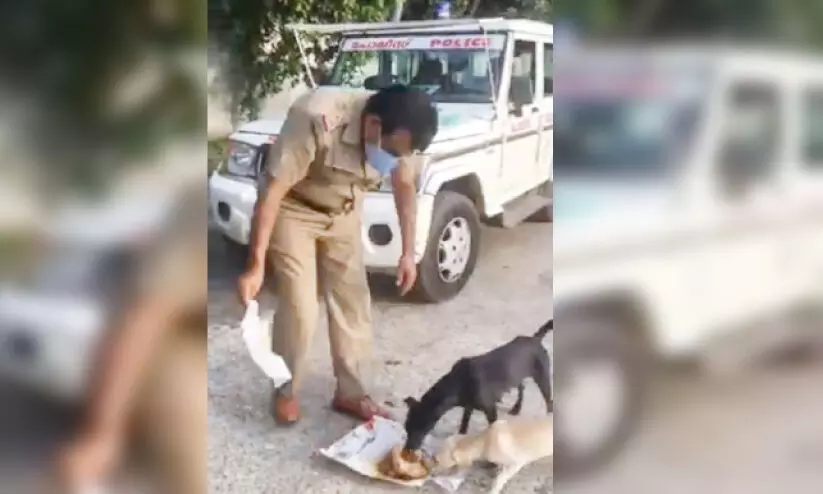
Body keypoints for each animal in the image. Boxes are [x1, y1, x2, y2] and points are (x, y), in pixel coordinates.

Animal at [400, 320, 552, 452]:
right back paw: (516, 409)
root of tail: (535, 339)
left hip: (542, 378)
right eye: (406, 428)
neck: (458, 382)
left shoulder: (490, 409)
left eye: (420, 428)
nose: (407, 449)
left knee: (548, 400)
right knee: (522, 388)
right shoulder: (468, 407)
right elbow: (463, 426)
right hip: (516, 376)